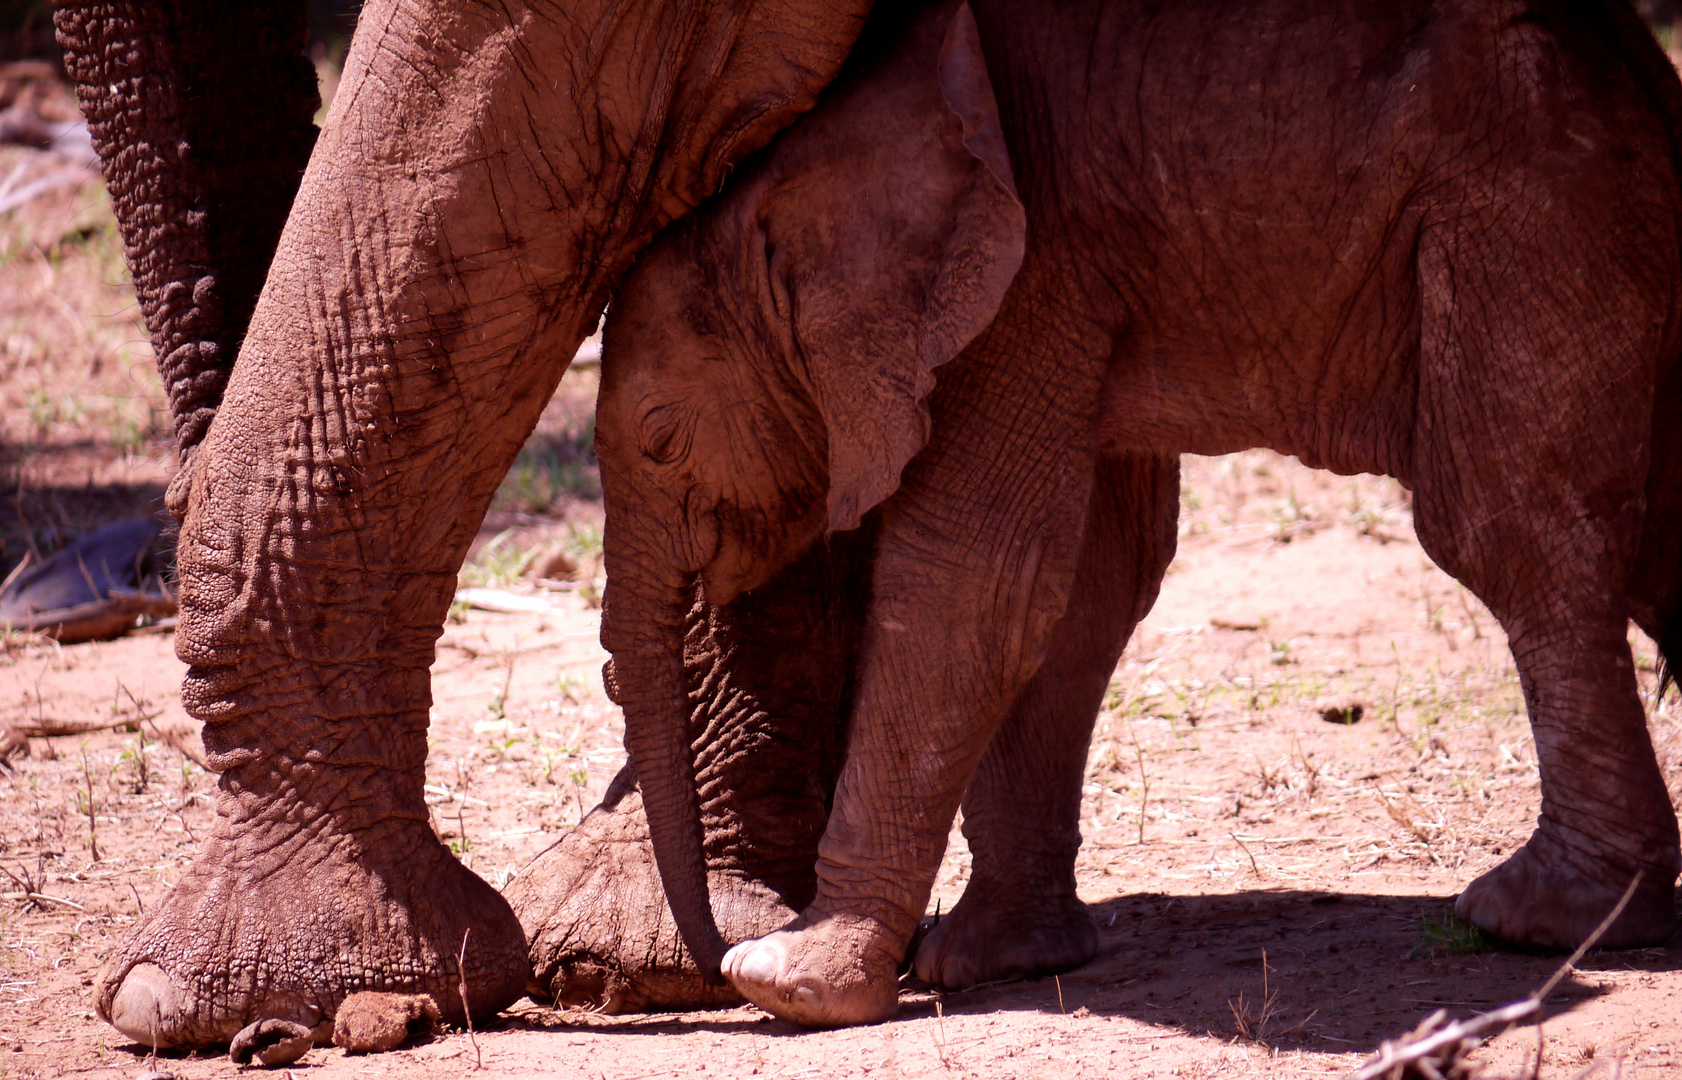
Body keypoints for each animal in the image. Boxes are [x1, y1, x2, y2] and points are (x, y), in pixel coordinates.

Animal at [598, 0, 1682, 1022]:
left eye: (659, 438)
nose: (706, 957)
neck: (805, 166)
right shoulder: (1077, 286)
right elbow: (1081, 590)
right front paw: (991, 959)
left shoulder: (1027, 279)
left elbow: (969, 583)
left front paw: (790, 981)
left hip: (1521, 217)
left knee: (1506, 533)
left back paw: (1538, 916)